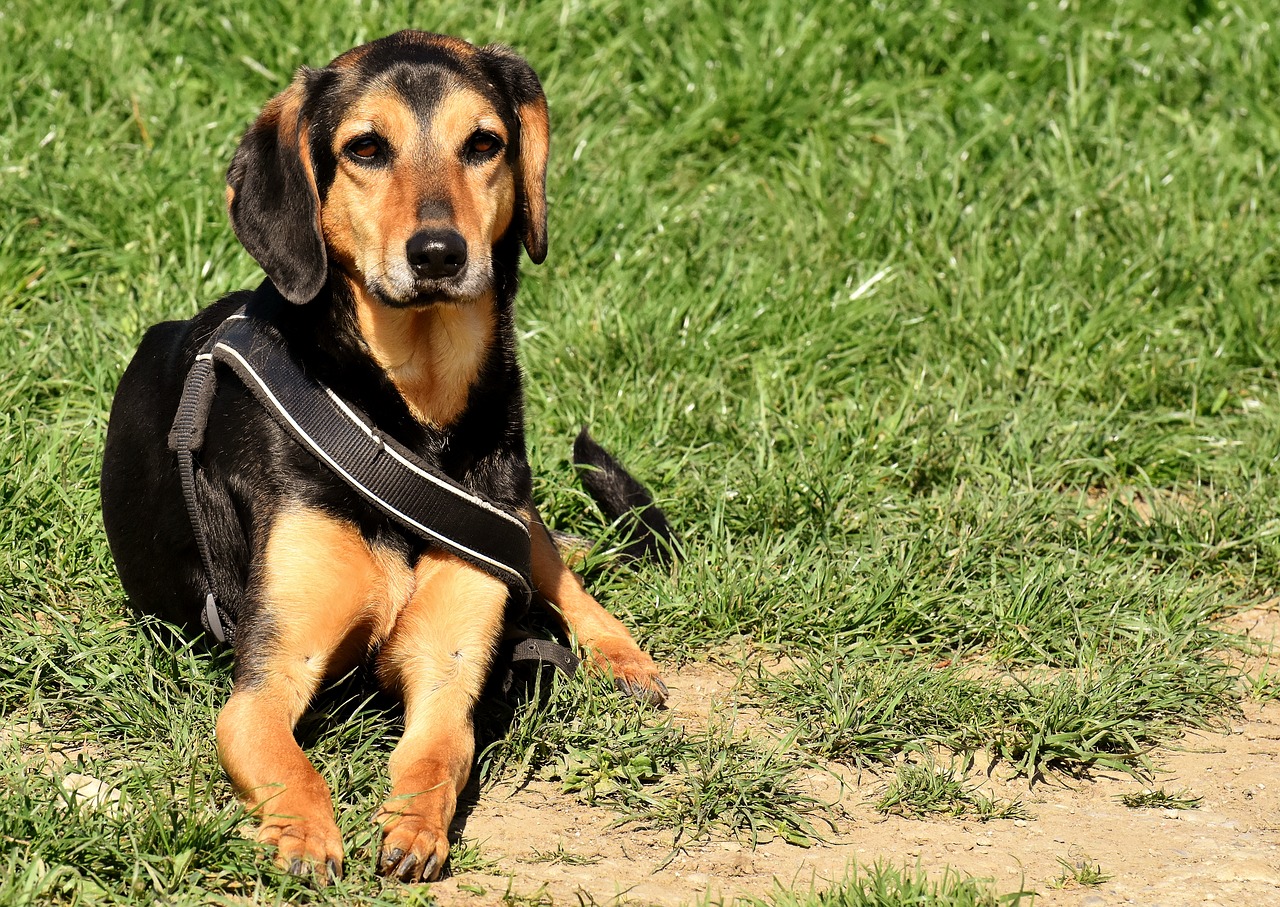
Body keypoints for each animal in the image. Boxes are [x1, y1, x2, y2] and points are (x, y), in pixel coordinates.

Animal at [99, 31, 670, 880]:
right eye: (365, 147)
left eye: (484, 143)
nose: (438, 252)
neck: (407, 419)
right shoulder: (264, 679)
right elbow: (286, 760)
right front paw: (306, 835)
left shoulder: (449, 663)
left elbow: (440, 753)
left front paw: (414, 828)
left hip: (510, 508)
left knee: (557, 570)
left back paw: (622, 656)